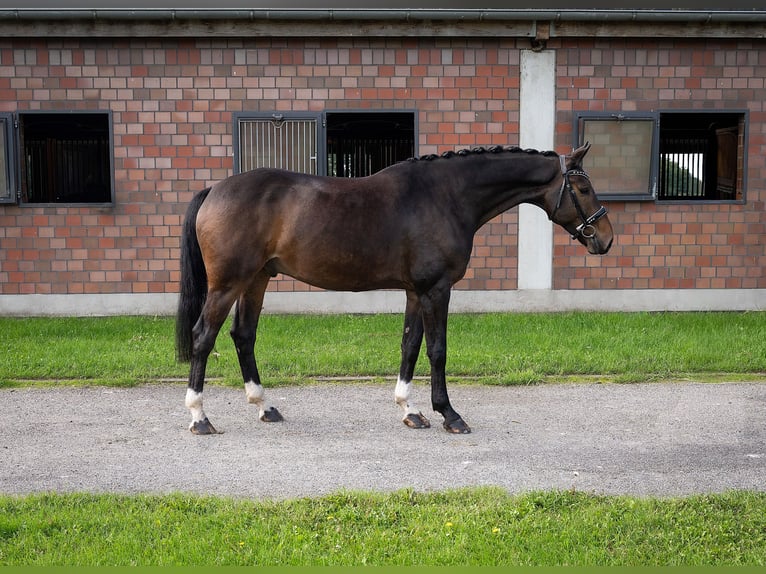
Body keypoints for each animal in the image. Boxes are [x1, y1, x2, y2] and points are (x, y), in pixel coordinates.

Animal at [175, 142, 613, 435]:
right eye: (584, 188)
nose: (606, 239)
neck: (445, 196)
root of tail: (215, 190)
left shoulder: (415, 291)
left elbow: (410, 345)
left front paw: (410, 411)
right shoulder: (437, 289)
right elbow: (437, 350)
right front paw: (449, 414)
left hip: (258, 279)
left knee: (243, 335)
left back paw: (265, 407)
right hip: (228, 283)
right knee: (203, 336)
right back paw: (200, 417)